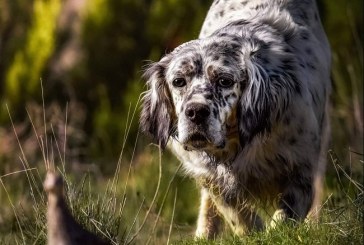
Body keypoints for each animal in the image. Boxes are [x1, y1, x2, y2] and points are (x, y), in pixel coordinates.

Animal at [139, 0, 330, 238]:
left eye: (225, 81)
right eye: (178, 81)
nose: (196, 112)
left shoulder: (301, 168)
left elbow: (284, 218)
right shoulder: (211, 176)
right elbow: (237, 214)